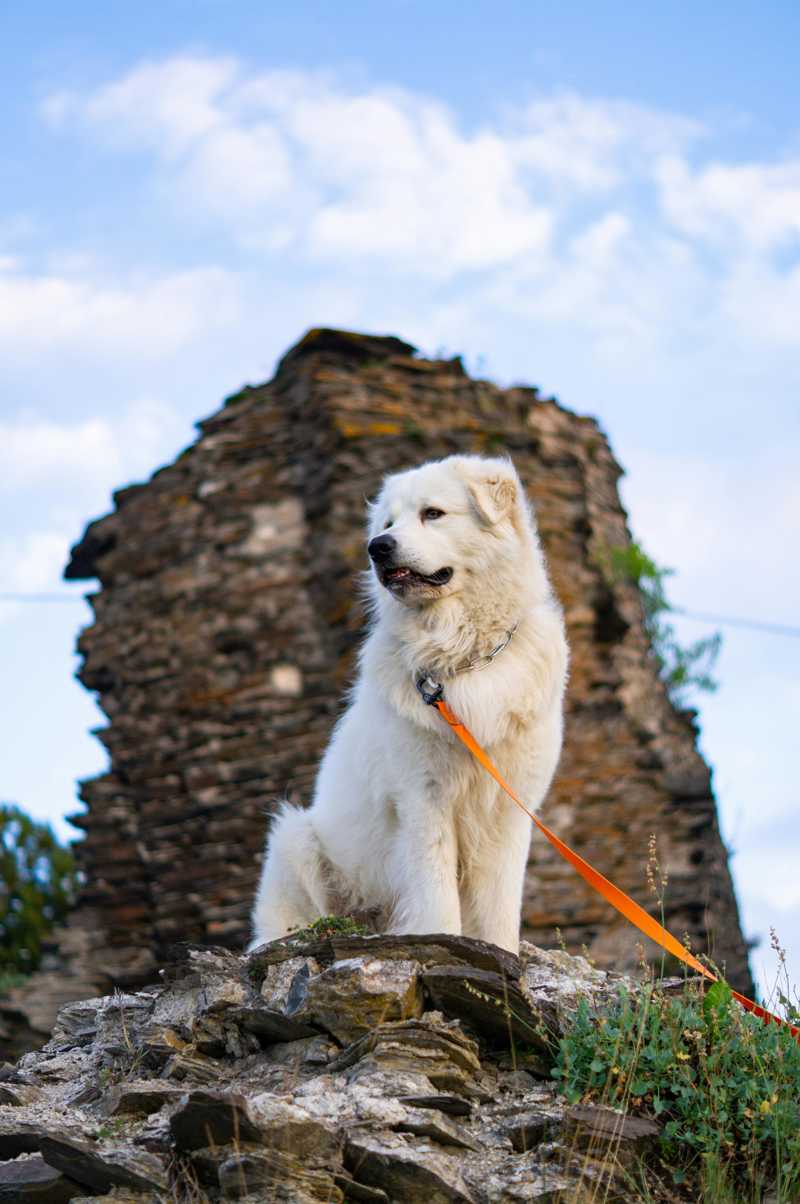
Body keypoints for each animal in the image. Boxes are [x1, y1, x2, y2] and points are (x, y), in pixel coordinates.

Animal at [250, 452, 568, 948]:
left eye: (432, 514)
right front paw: (445, 943)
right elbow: (436, 895)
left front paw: (501, 955)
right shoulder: (423, 799)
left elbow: (500, 907)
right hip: (294, 835)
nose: (377, 547)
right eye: (387, 523)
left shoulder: (511, 808)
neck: (462, 655)